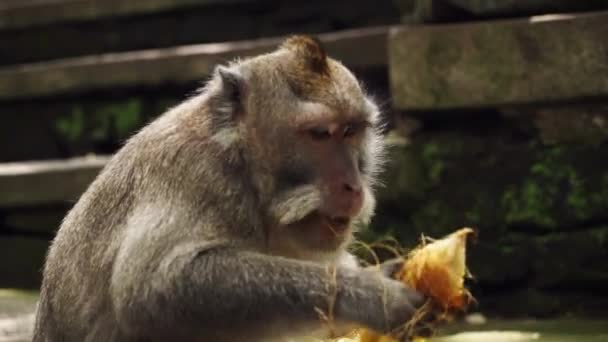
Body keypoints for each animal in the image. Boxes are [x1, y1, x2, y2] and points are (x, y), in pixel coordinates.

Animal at [33, 36, 426, 340]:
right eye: (320, 134)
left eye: (351, 131)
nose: (352, 185)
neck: (242, 164)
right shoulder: (196, 174)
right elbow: (149, 289)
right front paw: (372, 293)